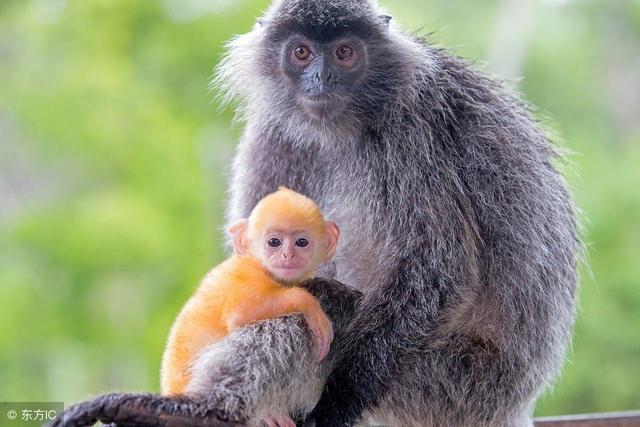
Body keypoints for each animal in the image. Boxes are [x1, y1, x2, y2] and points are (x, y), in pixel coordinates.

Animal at [160, 189, 340, 410]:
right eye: (273, 242)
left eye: (302, 242)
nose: (288, 255)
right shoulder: (247, 274)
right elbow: (240, 314)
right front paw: (310, 306)